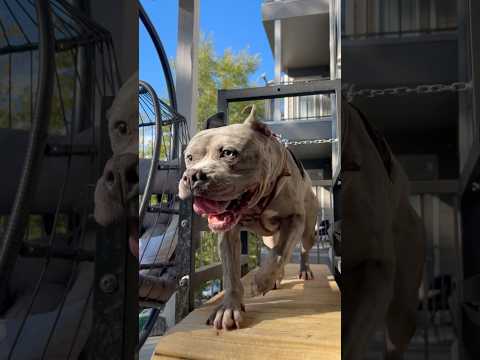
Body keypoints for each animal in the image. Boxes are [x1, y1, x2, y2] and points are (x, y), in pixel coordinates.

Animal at [177, 105, 318, 330]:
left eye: (228, 153)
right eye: (189, 157)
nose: (192, 176)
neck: (257, 203)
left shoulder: (294, 219)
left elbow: (281, 253)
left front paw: (261, 281)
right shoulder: (228, 236)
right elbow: (231, 273)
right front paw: (229, 307)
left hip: (308, 231)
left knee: (301, 250)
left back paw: (302, 270)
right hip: (268, 238)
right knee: (274, 247)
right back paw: (276, 277)